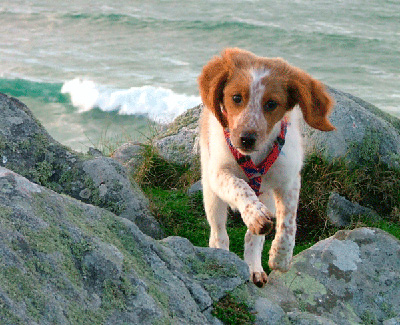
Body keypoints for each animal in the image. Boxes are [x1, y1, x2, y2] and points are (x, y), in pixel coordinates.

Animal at [198, 47, 334, 286]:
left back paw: (254, 268)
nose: (246, 139)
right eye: (236, 98)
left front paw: (281, 256)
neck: (254, 156)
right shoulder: (218, 172)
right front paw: (253, 214)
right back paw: (222, 254)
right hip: (211, 193)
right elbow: (239, 186)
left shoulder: (289, 179)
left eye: (271, 104)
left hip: (267, 195)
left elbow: (288, 221)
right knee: (219, 232)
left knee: (253, 238)